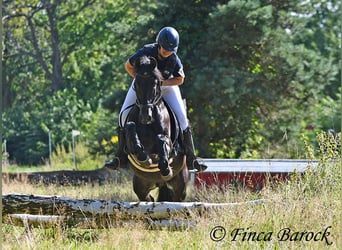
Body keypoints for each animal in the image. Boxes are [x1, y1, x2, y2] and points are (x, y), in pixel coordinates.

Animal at [123, 55, 188, 202]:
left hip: (180, 186)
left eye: (155, 83)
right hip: (141, 186)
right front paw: (144, 157)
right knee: (148, 198)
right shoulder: (130, 141)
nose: (145, 117)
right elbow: (131, 128)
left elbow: (161, 139)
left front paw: (166, 169)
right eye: (137, 83)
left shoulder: (171, 145)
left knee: (177, 198)